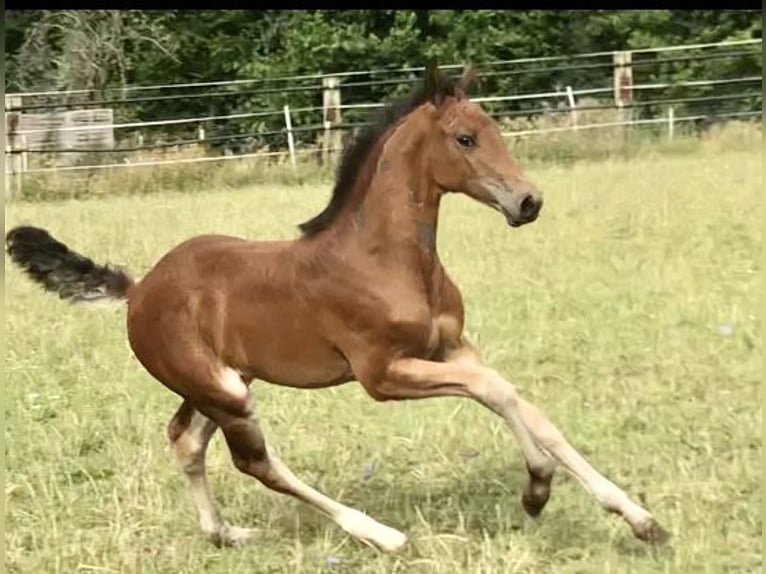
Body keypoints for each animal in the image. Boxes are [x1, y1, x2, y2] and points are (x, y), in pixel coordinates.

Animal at [6, 65, 668, 556]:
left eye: (495, 129)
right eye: (465, 138)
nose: (528, 202)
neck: (382, 258)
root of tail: (139, 288)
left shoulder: (451, 346)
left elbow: (522, 403)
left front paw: (630, 515)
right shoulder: (382, 374)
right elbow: (495, 391)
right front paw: (538, 488)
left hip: (220, 384)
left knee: (186, 441)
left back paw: (224, 533)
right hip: (226, 391)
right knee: (256, 462)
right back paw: (380, 534)